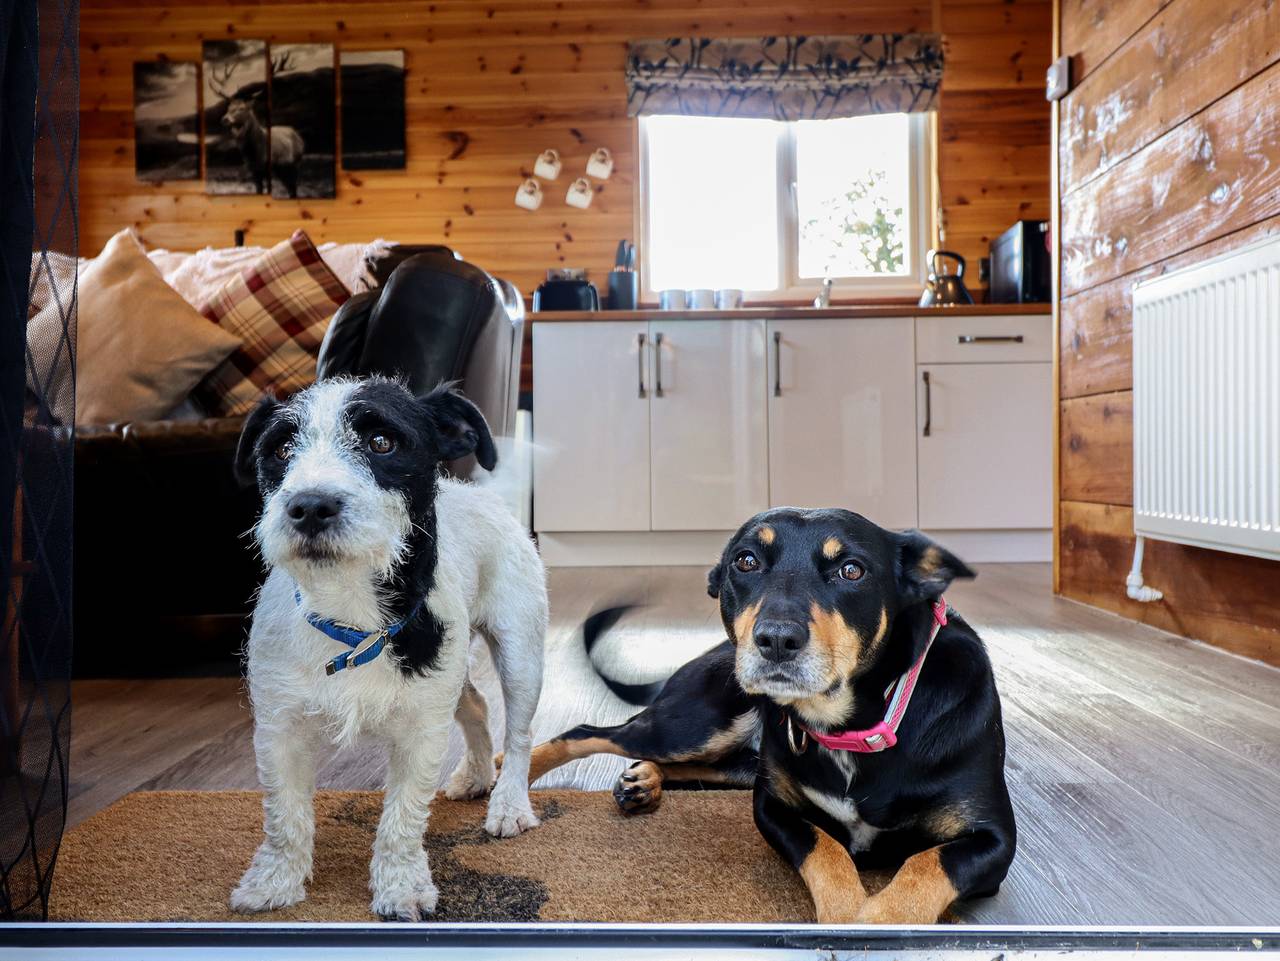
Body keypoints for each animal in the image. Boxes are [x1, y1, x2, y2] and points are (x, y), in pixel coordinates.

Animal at [209, 55, 305, 198]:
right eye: (228, 108)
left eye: (242, 108)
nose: (224, 119)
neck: (255, 154)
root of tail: (298, 136)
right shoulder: (253, 171)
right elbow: (258, 190)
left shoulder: (268, 168)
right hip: (282, 170)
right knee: (291, 189)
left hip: (295, 163)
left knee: (294, 188)